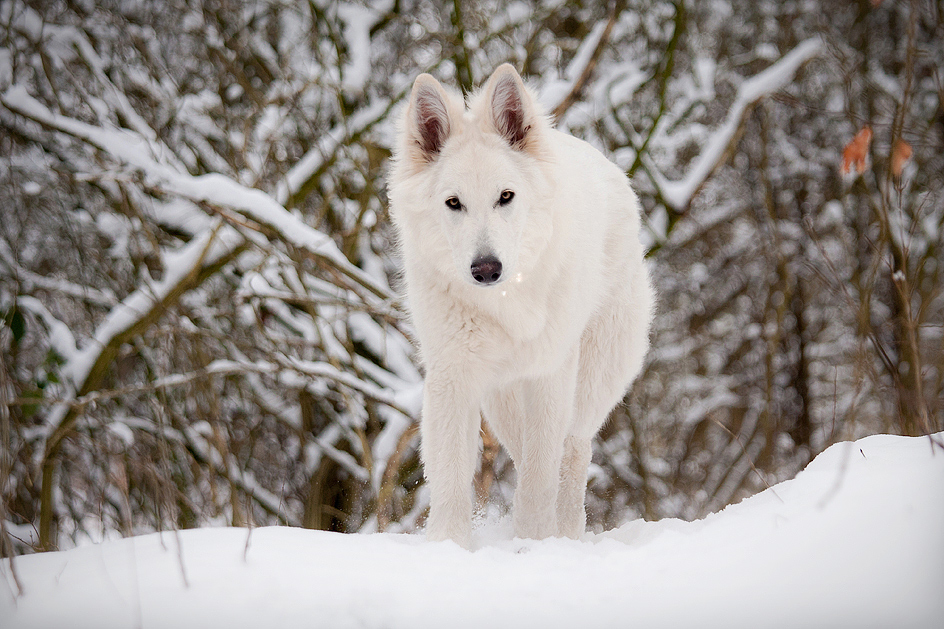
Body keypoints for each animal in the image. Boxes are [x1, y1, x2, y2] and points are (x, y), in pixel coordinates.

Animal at [388, 63, 652, 544]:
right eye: (453, 203)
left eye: (505, 197)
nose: (486, 269)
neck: (506, 303)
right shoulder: (453, 376)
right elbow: (451, 476)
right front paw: (448, 544)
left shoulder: (550, 374)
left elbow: (541, 473)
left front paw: (534, 543)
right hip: (502, 401)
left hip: (589, 381)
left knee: (572, 451)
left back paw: (565, 534)